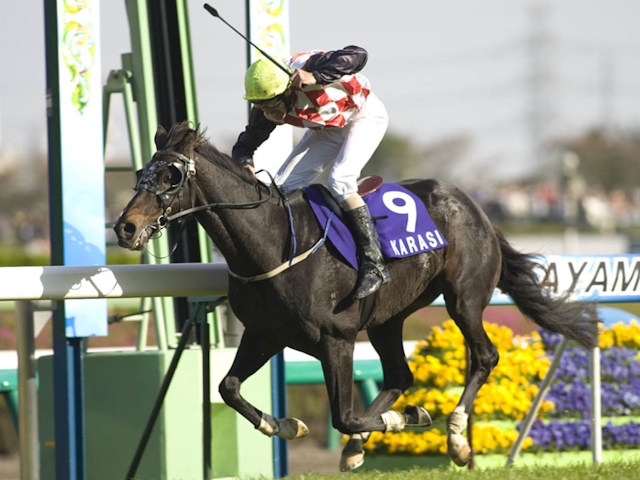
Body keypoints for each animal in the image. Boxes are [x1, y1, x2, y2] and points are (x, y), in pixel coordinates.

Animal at [115, 123, 600, 472]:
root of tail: (476, 206)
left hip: (464, 299)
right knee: (400, 375)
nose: (125, 227)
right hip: (388, 318)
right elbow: (228, 387)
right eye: (141, 173)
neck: (273, 242)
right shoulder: (265, 333)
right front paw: (285, 424)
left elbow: (343, 414)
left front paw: (408, 418)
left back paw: (456, 438)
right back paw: (357, 446)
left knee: (484, 356)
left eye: (171, 175)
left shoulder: (337, 339)